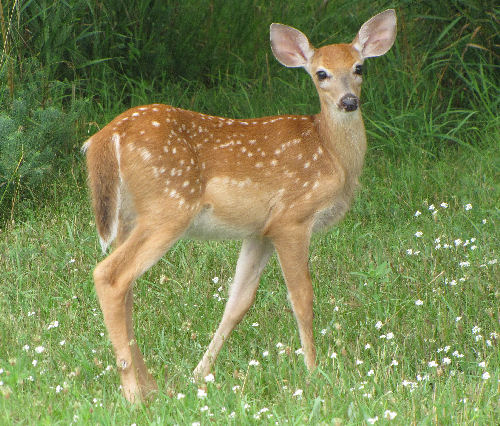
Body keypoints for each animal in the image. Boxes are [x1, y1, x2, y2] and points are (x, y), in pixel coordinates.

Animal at [82, 10, 396, 402]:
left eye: (359, 67)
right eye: (321, 73)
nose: (349, 102)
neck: (331, 152)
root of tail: (105, 137)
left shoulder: (259, 231)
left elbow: (238, 303)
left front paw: (199, 373)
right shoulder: (293, 218)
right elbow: (302, 298)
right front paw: (314, 373)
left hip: (130, 216)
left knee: (127, 286)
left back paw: (151, 385)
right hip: (168, 208)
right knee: (110, 276)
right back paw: (134, 394)